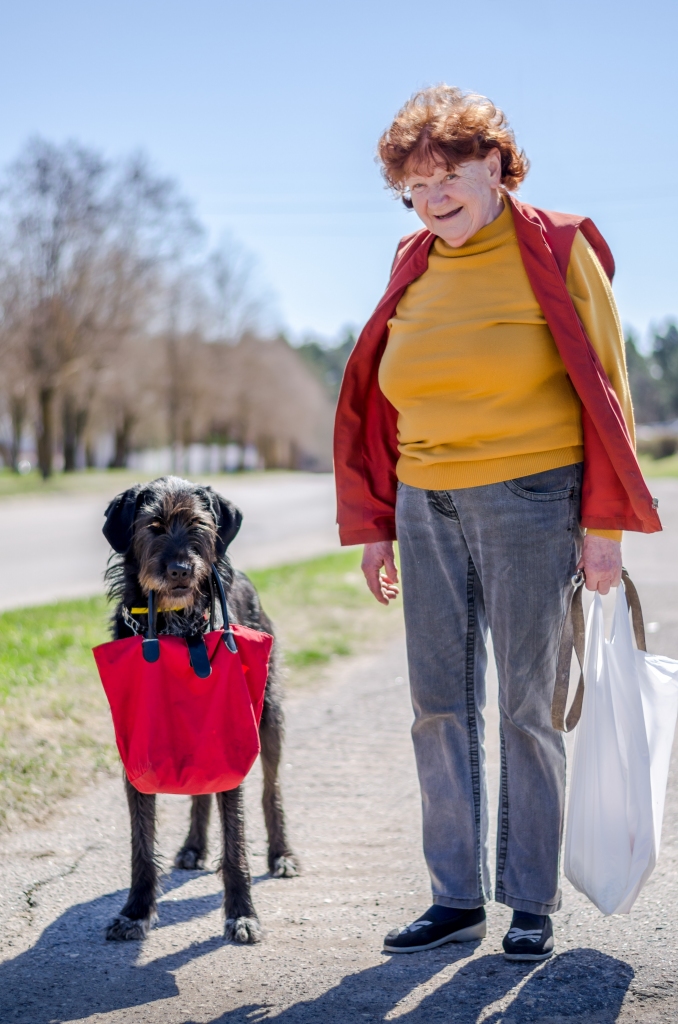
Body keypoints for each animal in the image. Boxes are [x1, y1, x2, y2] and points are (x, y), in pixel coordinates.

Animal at [102, 477, 299, 942]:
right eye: (153, 526)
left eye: (197, 525)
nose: (180, 570)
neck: (176, 629)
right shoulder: (135, 749)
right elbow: (141, 841)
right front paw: (136, 910)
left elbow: (236, 839)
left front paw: (242, 912)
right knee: (201, 791)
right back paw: (193, 846)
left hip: (268, 717)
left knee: (271, 790)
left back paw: (281, 853)